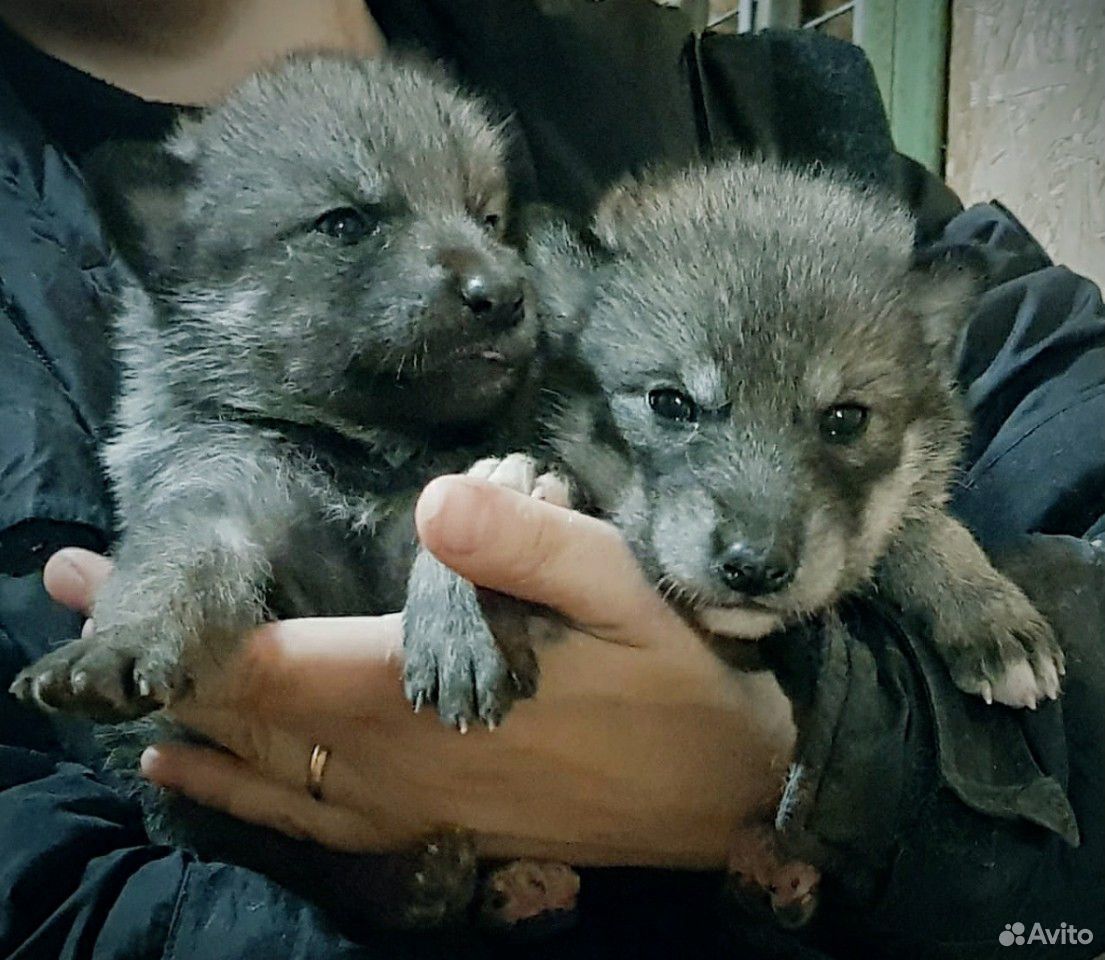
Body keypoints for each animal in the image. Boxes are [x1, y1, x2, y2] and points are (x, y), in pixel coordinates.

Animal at [7, 50, 543, 927]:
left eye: (490, 219)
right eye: (345, 224)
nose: (505, 293)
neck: (354, 447)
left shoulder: (481, 481)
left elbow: (456, 526)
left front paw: (463, 624)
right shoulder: (217, 499)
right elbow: (171, 569)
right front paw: (117, 641)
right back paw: (416, 878)